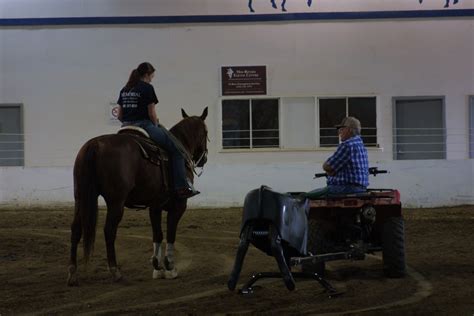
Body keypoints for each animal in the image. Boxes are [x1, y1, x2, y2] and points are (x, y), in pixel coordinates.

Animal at [67, 107, 208, 286]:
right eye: (206, 132)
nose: (204, 159)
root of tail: (95, 145)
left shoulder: (155, 206)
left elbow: (157, 234)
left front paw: (157, 267)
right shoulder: (179, 205)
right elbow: (170, 233)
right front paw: (170, 267)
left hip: (80, 198)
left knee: (76, 229)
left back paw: (73, 273)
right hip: (116, 202)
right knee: (109, 231)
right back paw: (115, 272)